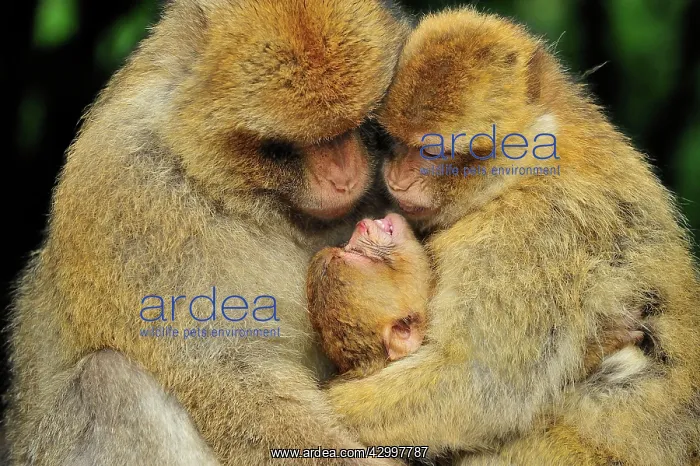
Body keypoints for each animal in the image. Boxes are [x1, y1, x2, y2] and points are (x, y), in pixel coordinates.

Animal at [5, 1, 411, 465]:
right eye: (283, 147)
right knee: (109, 383)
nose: (344, 177)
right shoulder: (133, 193)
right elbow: (226, 373)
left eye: (358, 125)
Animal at [325, 7, 700, 465]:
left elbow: (477, 385)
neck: (522, 172)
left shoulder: (529, 236)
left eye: (431, 151)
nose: (397, 177)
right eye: (393, 141)